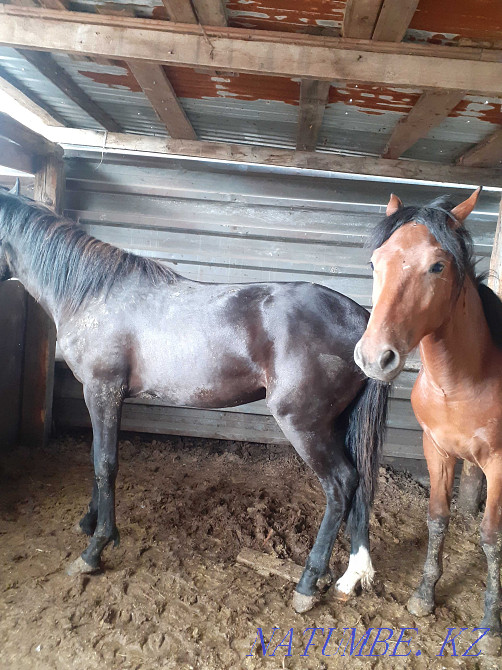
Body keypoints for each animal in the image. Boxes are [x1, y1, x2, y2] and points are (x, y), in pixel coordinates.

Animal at [0, 181, 389, 613]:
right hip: (335, 424)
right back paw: (352, 573)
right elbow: (96, 457)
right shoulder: (102, 396)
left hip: (304, 425)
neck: (93, 295)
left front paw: (95, 547)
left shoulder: (102, 390)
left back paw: (307, 584)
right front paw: (89, 522)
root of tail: (360, 319)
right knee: (359, 484)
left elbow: (105, 463)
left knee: (340, 484)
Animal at [354, 187, 502, 652]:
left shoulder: (499, 465)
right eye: (375, 262)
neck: (462, 384)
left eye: (437, 265)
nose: (374, 358)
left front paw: (490, 624)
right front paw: (424, 594)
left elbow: (490, 537)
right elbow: (438, 518)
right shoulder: (435, 449)